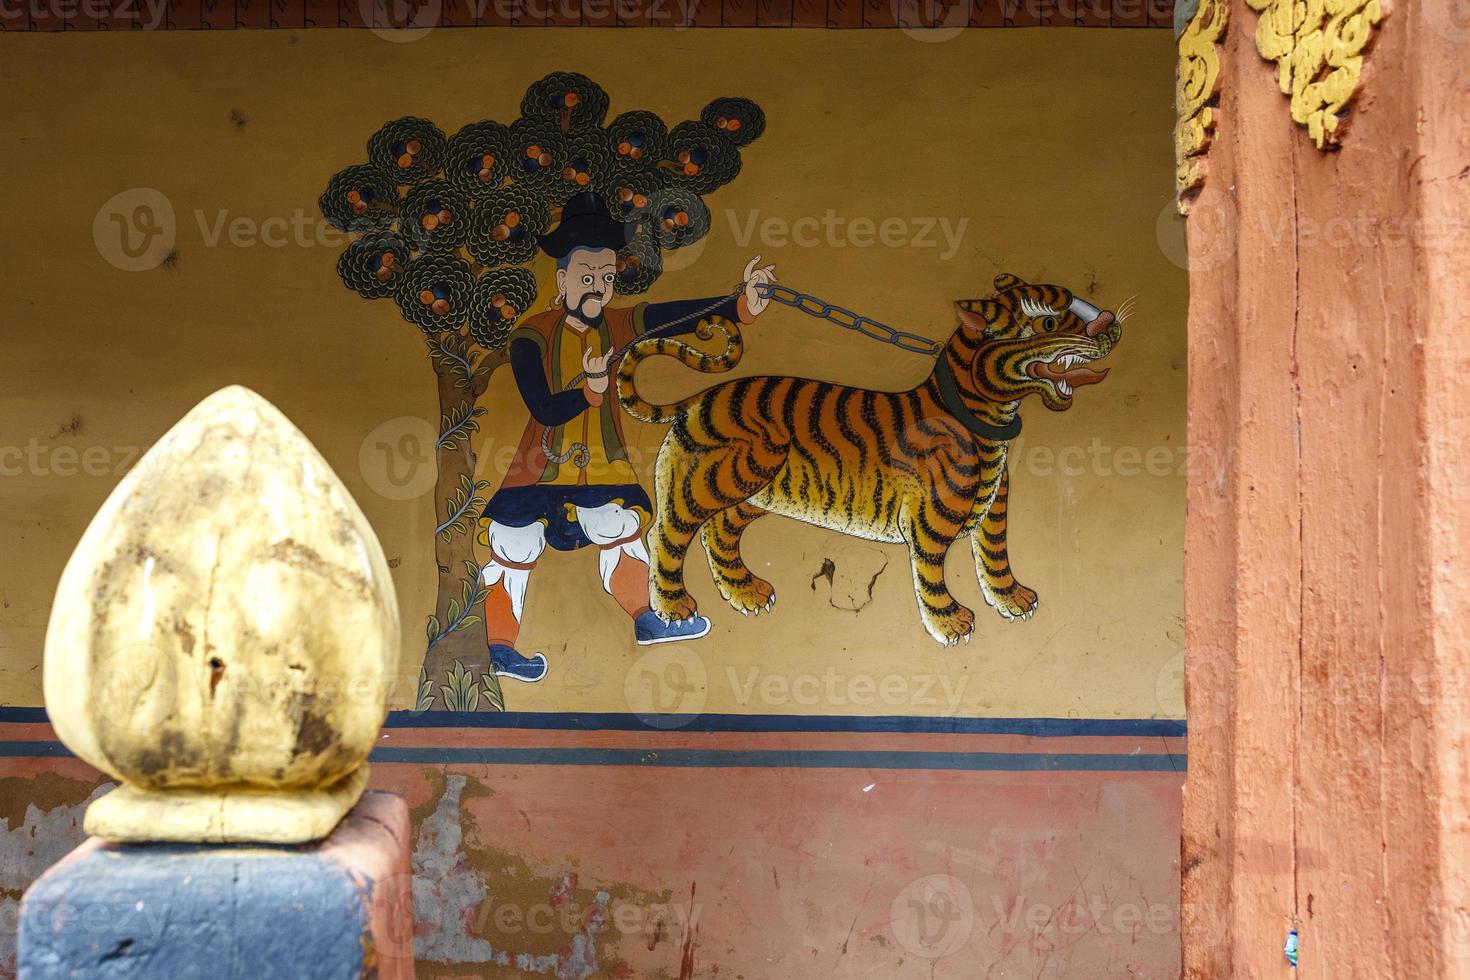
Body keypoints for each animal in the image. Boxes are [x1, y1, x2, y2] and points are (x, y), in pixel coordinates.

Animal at [614, 271, 1128, 646]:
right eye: (1049, 323)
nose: (1110, 323)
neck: (988, 414)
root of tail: (699, 397)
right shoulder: (929, 522)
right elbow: (933, 573)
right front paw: (949, 623)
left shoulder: (994, 509)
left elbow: (996, 555)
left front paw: (1013, 599)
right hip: (722, 479)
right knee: (667, 534)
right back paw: (674, 607)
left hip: (756, 495)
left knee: (717, 534)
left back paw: (747, 593)